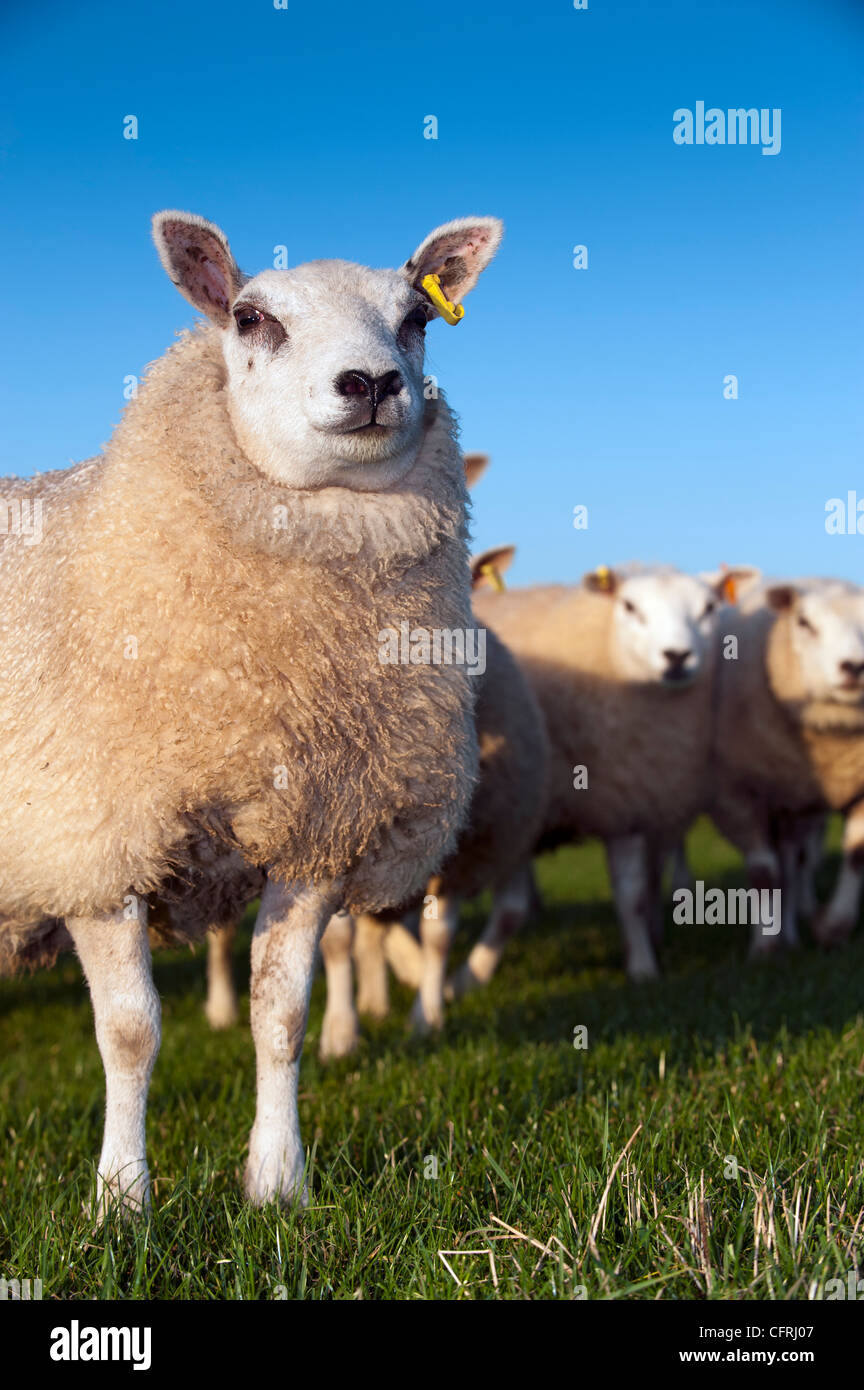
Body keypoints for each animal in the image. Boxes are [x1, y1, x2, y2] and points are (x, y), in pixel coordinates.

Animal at [0, 208, 500, 1217]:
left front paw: (277, 1182)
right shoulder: (95, 836)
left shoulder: (318, 824)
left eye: (415, 318)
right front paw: (121, 1199)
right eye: (249, 316)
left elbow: (282, 1014)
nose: (373, 383)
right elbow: (131, 1032)